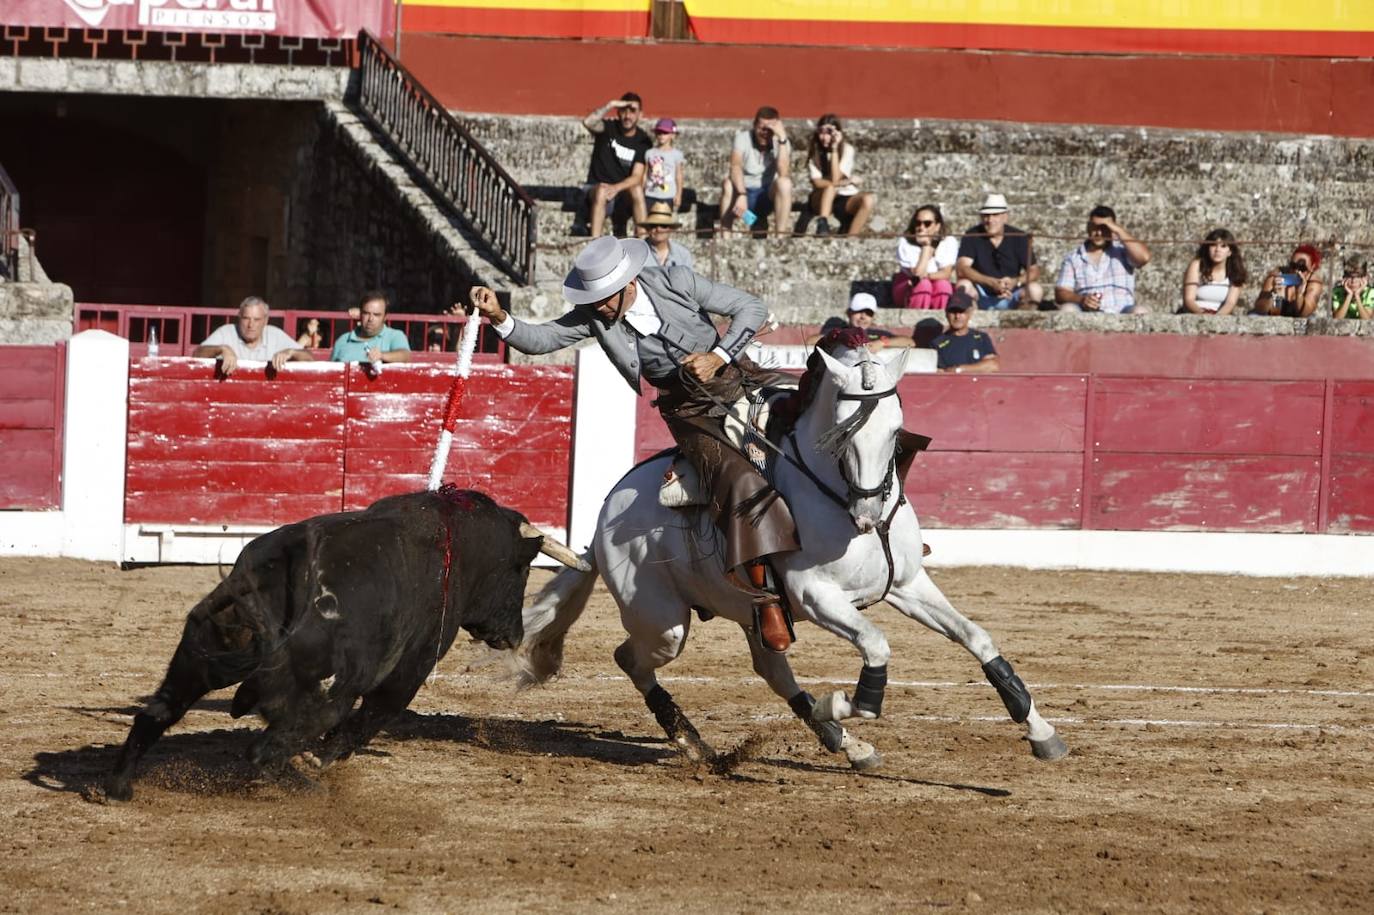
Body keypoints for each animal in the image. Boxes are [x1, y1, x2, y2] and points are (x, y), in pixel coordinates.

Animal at [105, 483, 574, 796]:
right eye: (522, 570)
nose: (514, 634)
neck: (456, 548)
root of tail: (296, 559)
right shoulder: (410, 669)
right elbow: (374, 716)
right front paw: (323, 758)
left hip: (199, 653)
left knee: (156, 713)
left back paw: (119, 787)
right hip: (324, 690)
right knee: (269, 748)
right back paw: (305, 786)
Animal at [516, 337, 1060, 763]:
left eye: (894, 429)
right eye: (842, 433)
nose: (868, 513)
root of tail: (602, 517)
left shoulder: (906, 584)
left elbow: (978, 638)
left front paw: (1042, 732)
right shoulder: (816, 596)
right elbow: (877, 645)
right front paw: (837, 704)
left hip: (750, 609)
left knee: (772, 669)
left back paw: (847, 744)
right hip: (662, 620)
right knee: (631, 657)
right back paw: (696, 743)